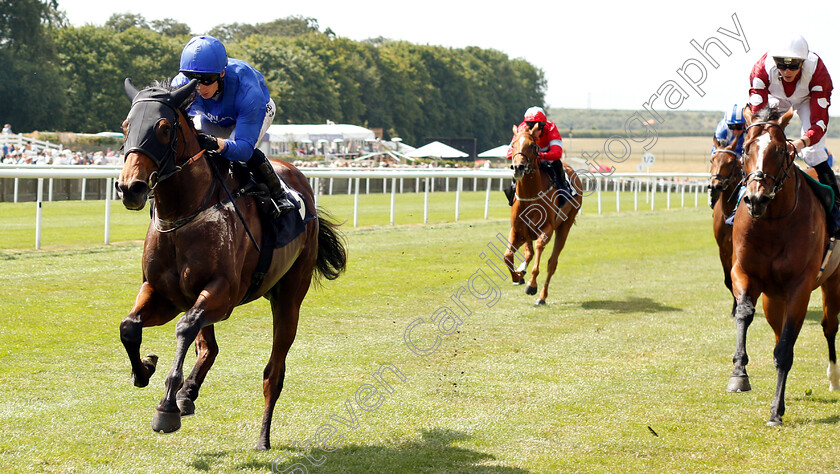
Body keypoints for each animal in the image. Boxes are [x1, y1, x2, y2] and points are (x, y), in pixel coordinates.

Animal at [116, 79, 346, 450]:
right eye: (126, 126)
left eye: (163, 128)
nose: (130, 188)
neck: (184, 213)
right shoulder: (163, 294)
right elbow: (130, 326)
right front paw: (145, 370)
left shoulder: (223, 295)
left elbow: (184, 327)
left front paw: (166, 406)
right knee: (208, 346)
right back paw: (188, 393)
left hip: (289, 298)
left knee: (273, 372)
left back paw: (262, 436)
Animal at [502, 124, 580, 306]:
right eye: (513, 144)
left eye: (533, 146)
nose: (518, 167)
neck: (530, 195)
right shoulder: (517, 229)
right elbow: (507, 256)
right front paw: (517, 276)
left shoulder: (547, 228)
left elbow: (539, 250)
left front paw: (531, 285)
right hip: (527, 232)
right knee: (528, 253)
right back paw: (522, 270)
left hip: (565, 225)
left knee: (552, 262)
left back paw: (542, 297)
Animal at [728, 106, 840, 426]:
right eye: (746, 148)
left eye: (780, 150)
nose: (755, 198)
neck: (771, 223)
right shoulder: (744, 272)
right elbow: (744, 313)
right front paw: (739, 374)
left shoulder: (800, 287)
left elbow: (787, 348)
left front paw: (776, 411)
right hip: (773, 298)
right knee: (778, 330)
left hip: (833, 281)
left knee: (829, 326)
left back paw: (834, 377)